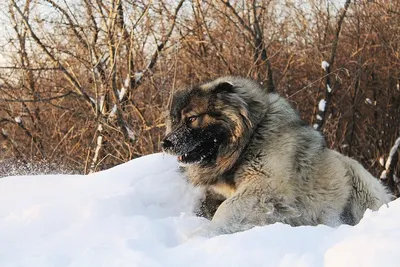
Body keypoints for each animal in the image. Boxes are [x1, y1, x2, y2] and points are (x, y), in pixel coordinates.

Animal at [160, 76, 390, 236]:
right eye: (175, 121)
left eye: (192, 119)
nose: (165, 143)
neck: (251, 137)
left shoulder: (263, 186)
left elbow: (227, 209)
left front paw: (201, 235)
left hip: (358, 181)